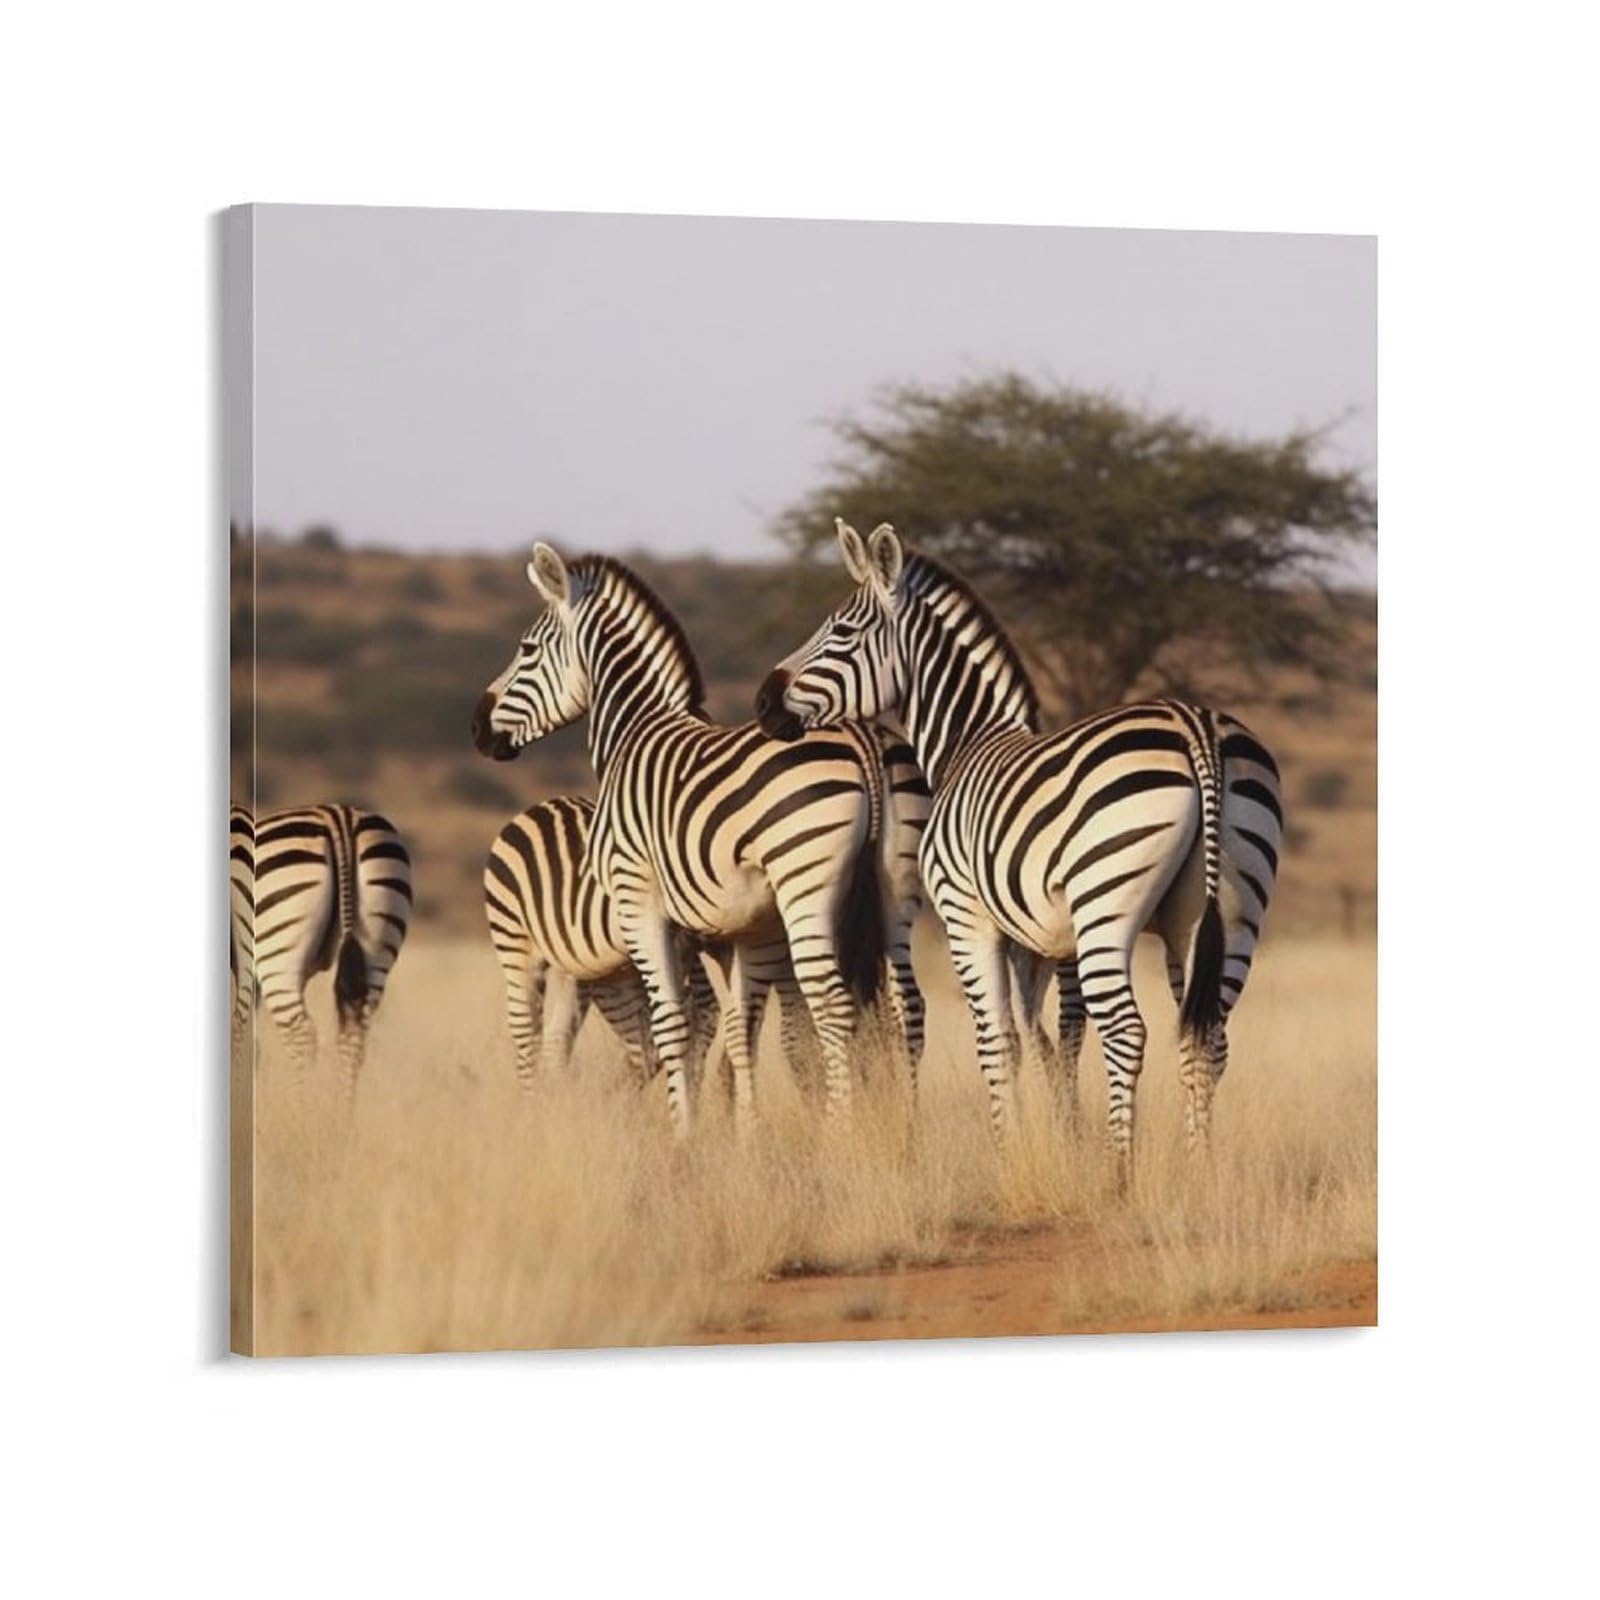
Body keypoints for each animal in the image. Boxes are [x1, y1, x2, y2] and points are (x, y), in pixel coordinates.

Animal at [241, 803, 414, 1098]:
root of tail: (339, 816)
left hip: (278, 959)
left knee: (301, 1035)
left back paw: (303, 1110)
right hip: (378, 944)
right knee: (354, 1035)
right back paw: (340, 1112)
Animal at [470, 545, 923, 1136]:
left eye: (526, 649)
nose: (477, 728)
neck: (634, 732)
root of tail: (865, 734)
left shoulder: (640, 902)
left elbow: (675, 1024)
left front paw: (684, 1133)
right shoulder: (743, 931)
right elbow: (739, 1031)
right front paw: (743, 1135)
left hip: (802, 884)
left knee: (832, 1004)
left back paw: (842, 1133)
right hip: (895, 885)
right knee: (905, 1005)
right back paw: (907, 1130)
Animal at [755, 521, 1283, 1188]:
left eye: (842, 632)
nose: (763, 704)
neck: (965, 743)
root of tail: (1196, 725)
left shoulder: (967, 916)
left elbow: (997, 1039)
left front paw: (1008, 1156)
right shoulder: (1033, 938)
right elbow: (1041, 1038)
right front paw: (1044, 1144)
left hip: (1106, 907)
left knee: (1127, 1032)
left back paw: (1119, 1174)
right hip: (1224, 913)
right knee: (1206, 1037)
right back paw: (1198, 1170)